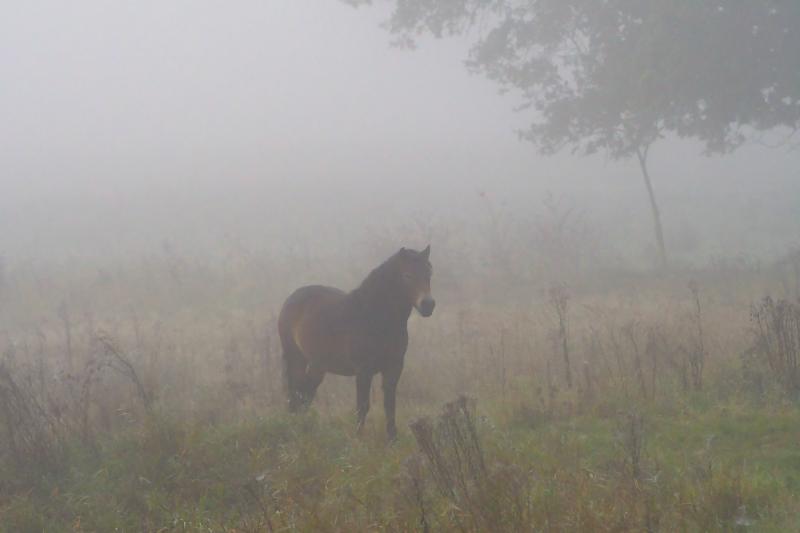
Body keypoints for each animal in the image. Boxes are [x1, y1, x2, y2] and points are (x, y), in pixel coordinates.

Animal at [278, 244, 434, 436]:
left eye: (428, 274)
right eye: (407, 276)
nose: (428, 305)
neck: (374, 318)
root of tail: (292, 298)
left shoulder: (394, 367)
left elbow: (390, 406)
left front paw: (392, 438)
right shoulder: (363, 371)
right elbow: (362, 407)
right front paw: (358, 438)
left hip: (318, 365)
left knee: (305, 395)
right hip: (296, 359)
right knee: (295, 395)